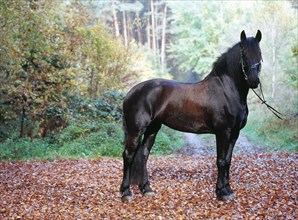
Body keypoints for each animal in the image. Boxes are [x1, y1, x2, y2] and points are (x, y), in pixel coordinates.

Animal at [120, 30, 262, 201]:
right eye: (244, 54)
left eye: (260, 53)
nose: (254, 81)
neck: (227, 90)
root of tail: (130, 93)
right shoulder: (223, 132)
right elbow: (221, 161)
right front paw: (221, 192)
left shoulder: (234, 134)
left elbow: (228, 160)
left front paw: (228, 190)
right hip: (135, 130)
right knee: (128, 155)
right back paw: (126, 192)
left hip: (152, 129)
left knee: (143, 154)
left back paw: (146, 189)